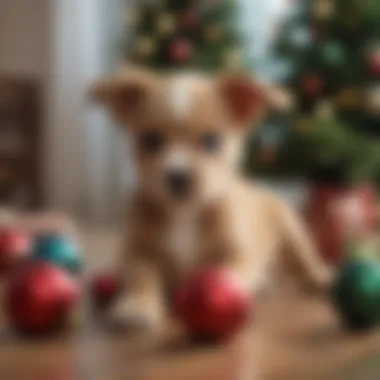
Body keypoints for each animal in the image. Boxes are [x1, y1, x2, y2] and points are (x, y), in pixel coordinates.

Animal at [92, 65, 332, 330]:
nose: (178, 176)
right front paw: (138, 304)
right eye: (150, 139)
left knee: (304, 260)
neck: (185, 214)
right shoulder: (137, 252)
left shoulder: (238, 253)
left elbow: (224, 273)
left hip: (291, 230)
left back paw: (319, 277)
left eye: (211, 140)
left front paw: (213, 296)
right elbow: (141, 276)